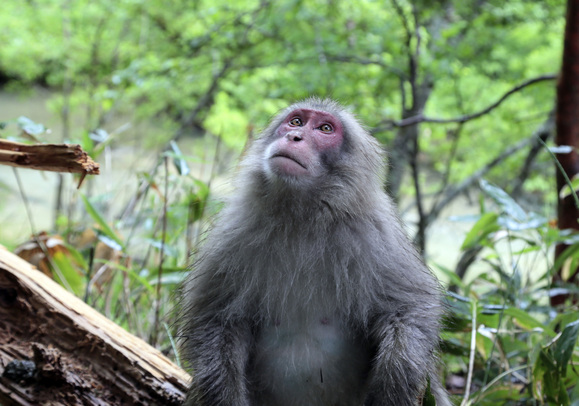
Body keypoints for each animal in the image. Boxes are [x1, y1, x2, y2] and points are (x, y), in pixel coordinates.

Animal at [179, 98, 450, 406]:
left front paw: (392, 388)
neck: (303, 215)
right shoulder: (233, 231)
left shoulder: (378, 235)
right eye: (296, 122)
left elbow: (410, 310)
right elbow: (217, 320)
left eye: (325, 129)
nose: (294, 136)